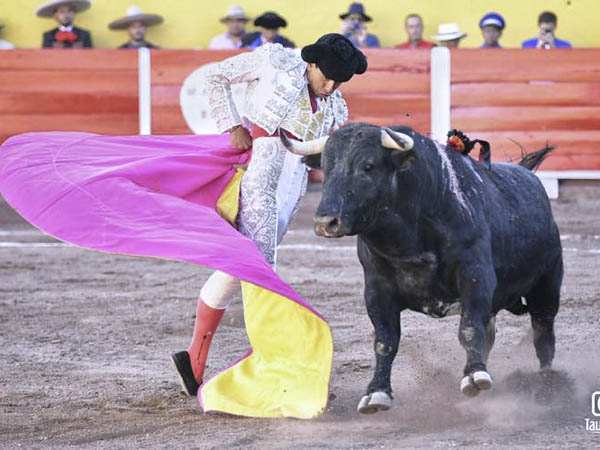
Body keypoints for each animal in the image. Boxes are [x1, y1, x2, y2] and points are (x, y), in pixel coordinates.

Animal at [280, 123, 563, 414]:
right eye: (326, 167)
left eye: (368, 166)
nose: (325, 222)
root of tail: (527, 174)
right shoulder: (376, 289)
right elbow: (385, 341)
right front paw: (376, 392)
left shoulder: (475, 276)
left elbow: (469, 328)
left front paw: (474, 375)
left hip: (547, 285)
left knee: (543, 333)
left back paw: (546, 382)